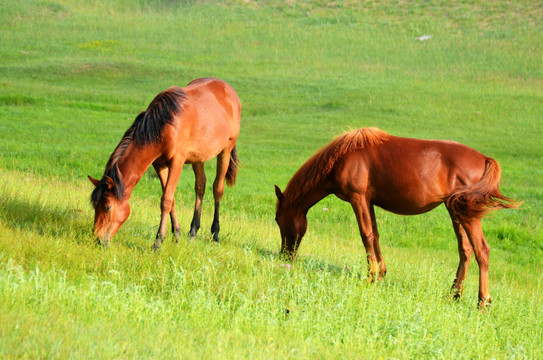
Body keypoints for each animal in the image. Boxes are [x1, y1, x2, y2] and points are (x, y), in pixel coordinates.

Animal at [88, 77, 241, 249]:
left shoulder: (177, 162)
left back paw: (215, 234)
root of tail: (229, 89)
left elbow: (166, 200)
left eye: (107, 207)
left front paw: (158, 241)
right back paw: (193, 231)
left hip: (225, 151)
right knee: (200, 186)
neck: (164, 125)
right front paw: (176, 234)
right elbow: (171, 198)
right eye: (95, 206)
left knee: (218, 189)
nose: (99, 240)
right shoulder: (159, 164)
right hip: (198, 157)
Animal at [276, 128, 520, 308]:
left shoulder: (358, 199)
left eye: (278, 219)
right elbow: (375, 235)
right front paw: (380, 274)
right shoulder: (369, 202)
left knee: (481, 251)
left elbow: (366, 235)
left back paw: (482, 301)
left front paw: (371, 276)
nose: (284, 256)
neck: (341, 158)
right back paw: (453, 295)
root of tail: (484, 158)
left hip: (466, 214)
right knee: (466, 251)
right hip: (456, 212)